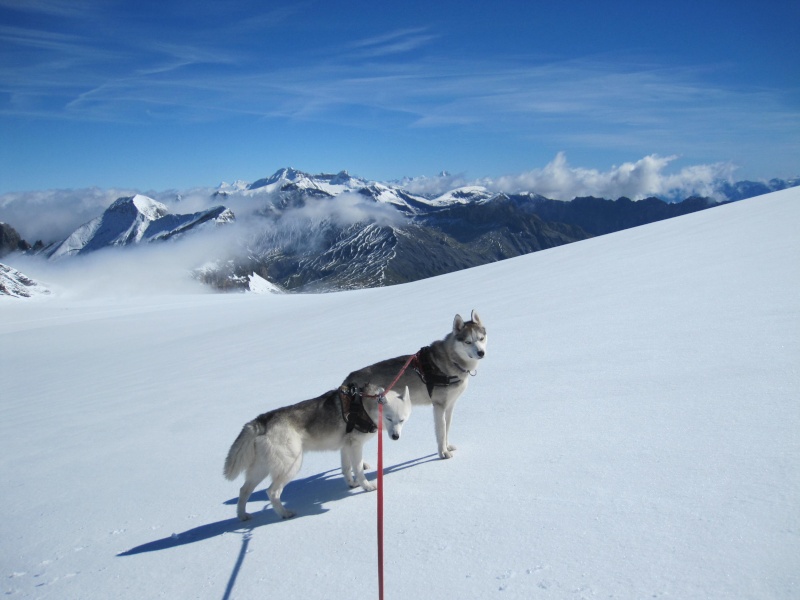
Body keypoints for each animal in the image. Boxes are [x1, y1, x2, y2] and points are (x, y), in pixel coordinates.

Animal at [225, 384, 412, 520]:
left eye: (402, 420)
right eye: (389, 418)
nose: (395, 437)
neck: (365, 406)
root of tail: (262, 420)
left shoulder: (346, 447)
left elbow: (346, 469)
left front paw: (351, 484)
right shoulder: (355, 446)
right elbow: (358, 470)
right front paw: (367, 487)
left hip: (261, 469)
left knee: (243, 490)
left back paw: (242, 516)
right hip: (290, 466)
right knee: (272, 492)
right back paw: (285, 514)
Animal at [340, 310, 484, 460]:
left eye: (481, 339)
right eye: (468, 342)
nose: (481, 353)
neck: (452, 360)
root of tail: (349, 378)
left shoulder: (450, 405)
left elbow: (447, 428)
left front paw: (447, 446)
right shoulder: (439, 406)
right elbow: (441, 431)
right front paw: (443, 453)